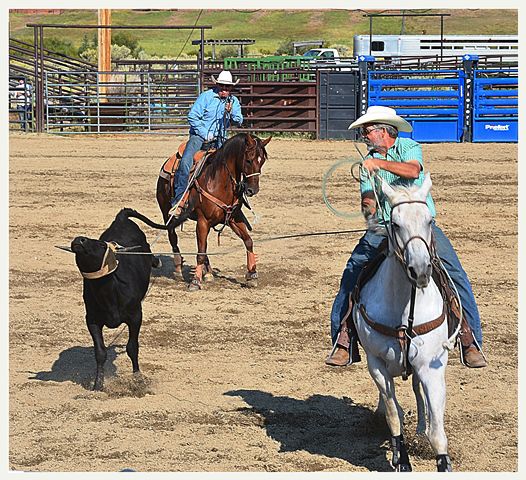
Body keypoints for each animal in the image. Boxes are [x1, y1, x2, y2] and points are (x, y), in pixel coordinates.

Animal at [72, 207, 166, 390]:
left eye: (101, 245)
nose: (79, 239)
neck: (110, 292)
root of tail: (122, 218)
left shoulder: (136, 316)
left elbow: (132, 347)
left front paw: (137, 377)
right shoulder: (92, 320)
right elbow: (100, 352)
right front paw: (98, 385)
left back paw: (157, 261)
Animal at [156, 132, 272, 288]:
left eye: (262, 161)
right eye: (248, 160)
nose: (252, 190)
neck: (218, 180)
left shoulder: (233, 218)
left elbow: (248, 241)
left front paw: (252, 274)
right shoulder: (203, 221)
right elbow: (200, 252)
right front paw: (195, 281)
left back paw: (208, 272)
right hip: (166, 211)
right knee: (173, 237)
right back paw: (179, 269)